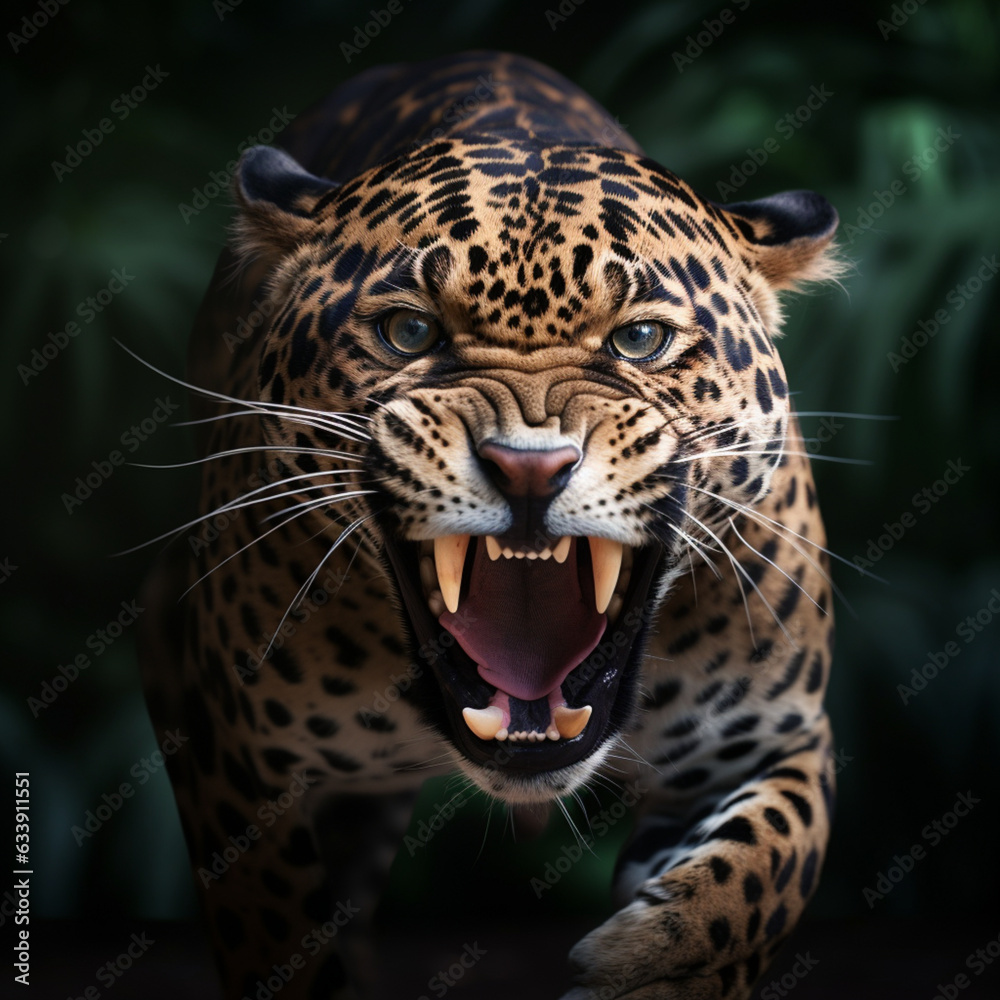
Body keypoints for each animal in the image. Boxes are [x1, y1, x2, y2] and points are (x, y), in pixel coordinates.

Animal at [138, 50, 844, 1000]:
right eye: (408, 331)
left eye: (642, 340)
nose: (529, 467)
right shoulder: (212, 721)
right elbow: (276, 924)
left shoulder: (768, 739)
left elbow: (763, 873)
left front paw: (657, 967)